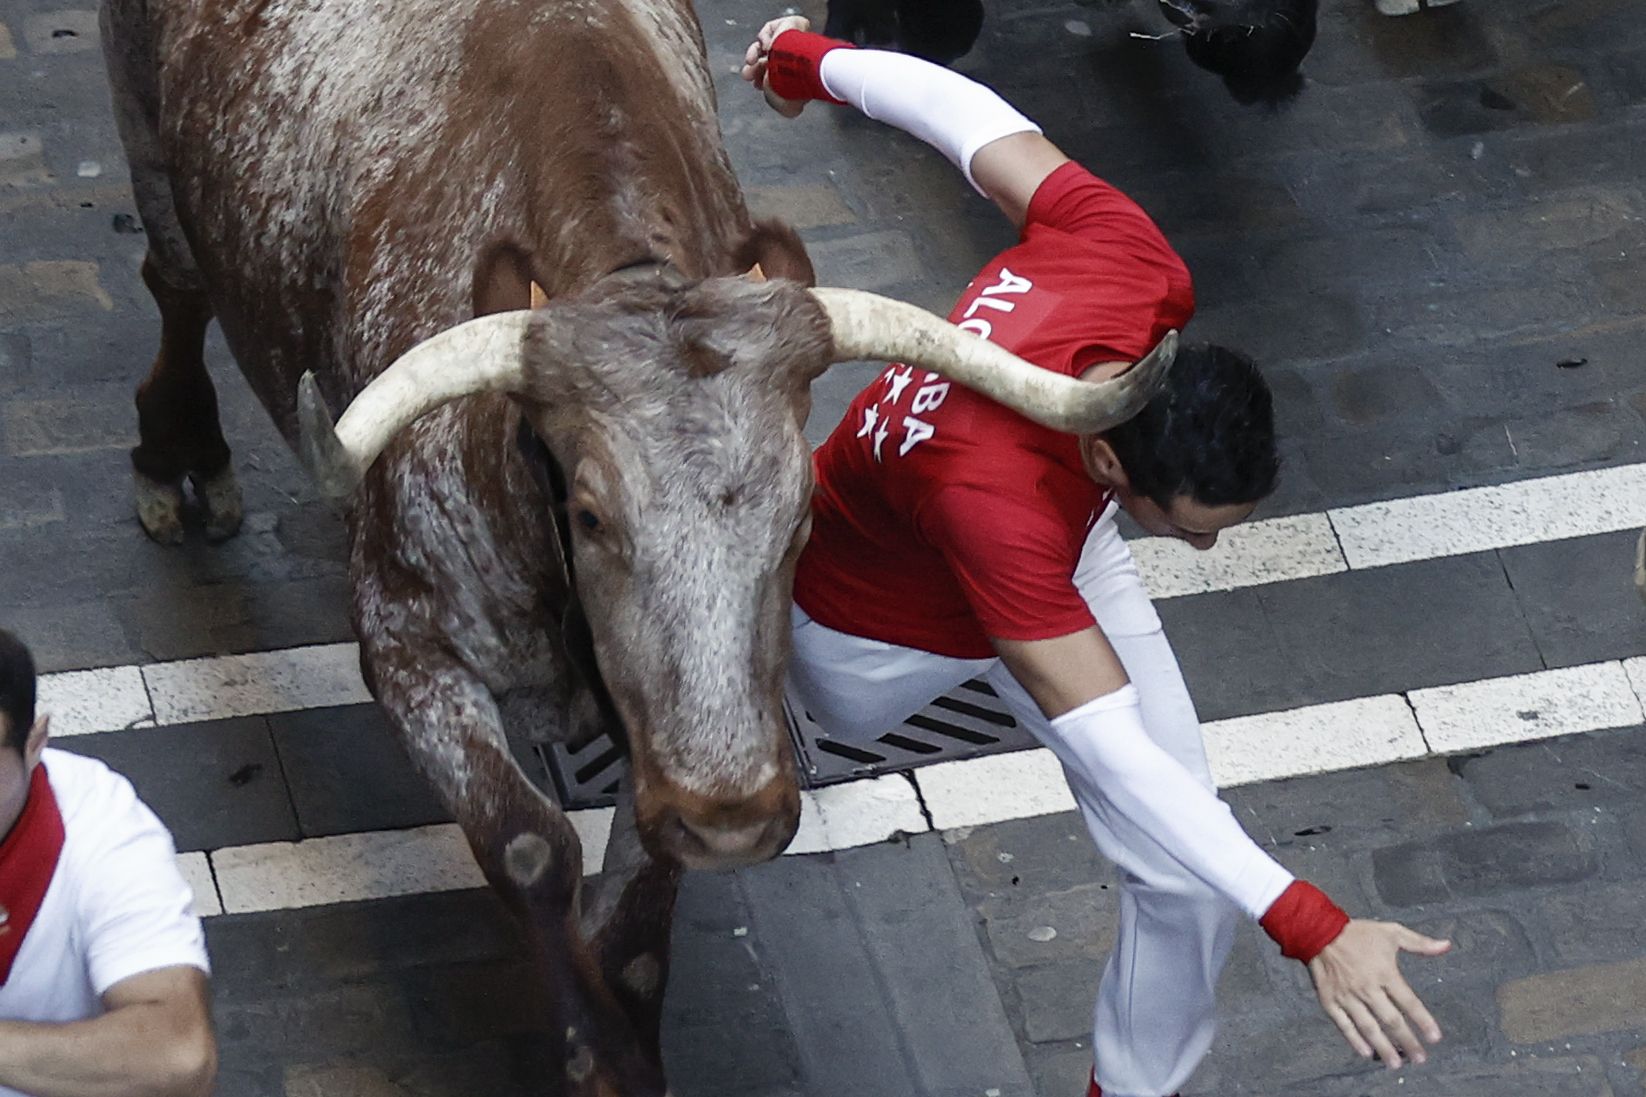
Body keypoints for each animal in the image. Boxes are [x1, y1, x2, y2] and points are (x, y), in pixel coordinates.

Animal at [96, 0, 1171, 1087]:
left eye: (803, 516)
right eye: (590, 515)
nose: (732, 816)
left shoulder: (660, 731)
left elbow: (636, 916)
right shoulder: (406, 640)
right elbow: (531, 846)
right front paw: (594, 1049)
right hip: (144, 135)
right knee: (174, 280)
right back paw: (179, 454)